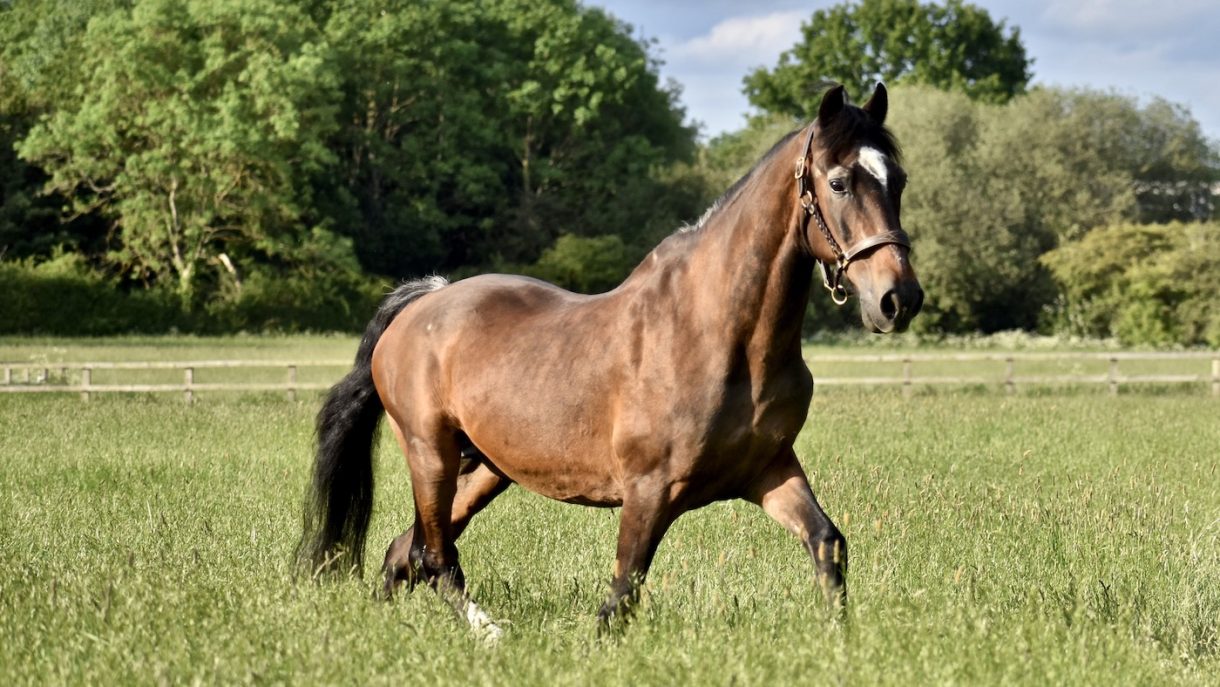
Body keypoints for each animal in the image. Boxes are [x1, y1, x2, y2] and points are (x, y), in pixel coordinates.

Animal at [298, 83, 923, 637]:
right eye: (839, 183)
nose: (899, 299)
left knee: (405, 551)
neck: (721, 337)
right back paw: (489, 632)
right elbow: (623, 594)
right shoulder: (651, 491)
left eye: (898, 181)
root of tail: (424, 300)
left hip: (485, 469)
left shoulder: (770, 470)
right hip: (430, 454)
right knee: (434, 558)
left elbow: (827, 543)